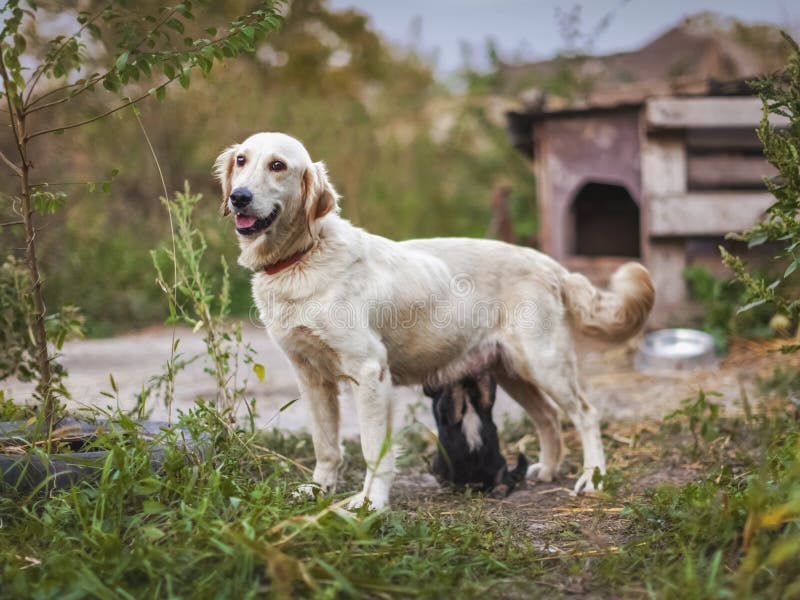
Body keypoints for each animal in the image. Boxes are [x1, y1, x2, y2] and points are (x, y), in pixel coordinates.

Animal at [216, 132, 652, 510]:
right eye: (242, 160)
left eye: (277, 165)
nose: (239, 197)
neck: (303, 256)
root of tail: (548, 263)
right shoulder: (310, 376)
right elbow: (325, 445)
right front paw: (320, 488)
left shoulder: (369, 371)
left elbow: (373, 449)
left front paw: (371, 502)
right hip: (513, 371)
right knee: (548, 418)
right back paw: (546, 469)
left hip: (545, 365)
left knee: (586, 415)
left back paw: (592, 478)